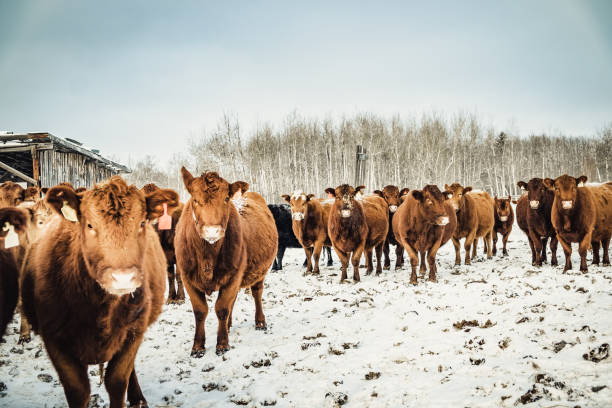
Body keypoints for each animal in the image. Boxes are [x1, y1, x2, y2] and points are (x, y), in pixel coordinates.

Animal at [19, 177, 177, 406]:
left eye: (141, 223)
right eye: (90, 225)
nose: (123, 277)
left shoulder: (133, 333)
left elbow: (118, 381)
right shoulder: (55, 339)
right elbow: (78, 390)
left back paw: (137, 398)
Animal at [173, 167, 276, 356]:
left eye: (226, 199)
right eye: (195, 200)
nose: (212, 231)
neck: (207, 257)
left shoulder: (233, 275)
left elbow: (221, 308)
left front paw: (222, 344)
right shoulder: (187, 277)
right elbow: (200, 311)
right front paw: (198, 346)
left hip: (260, 272)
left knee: (256, 293)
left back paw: (260, 322)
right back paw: (229, 325)